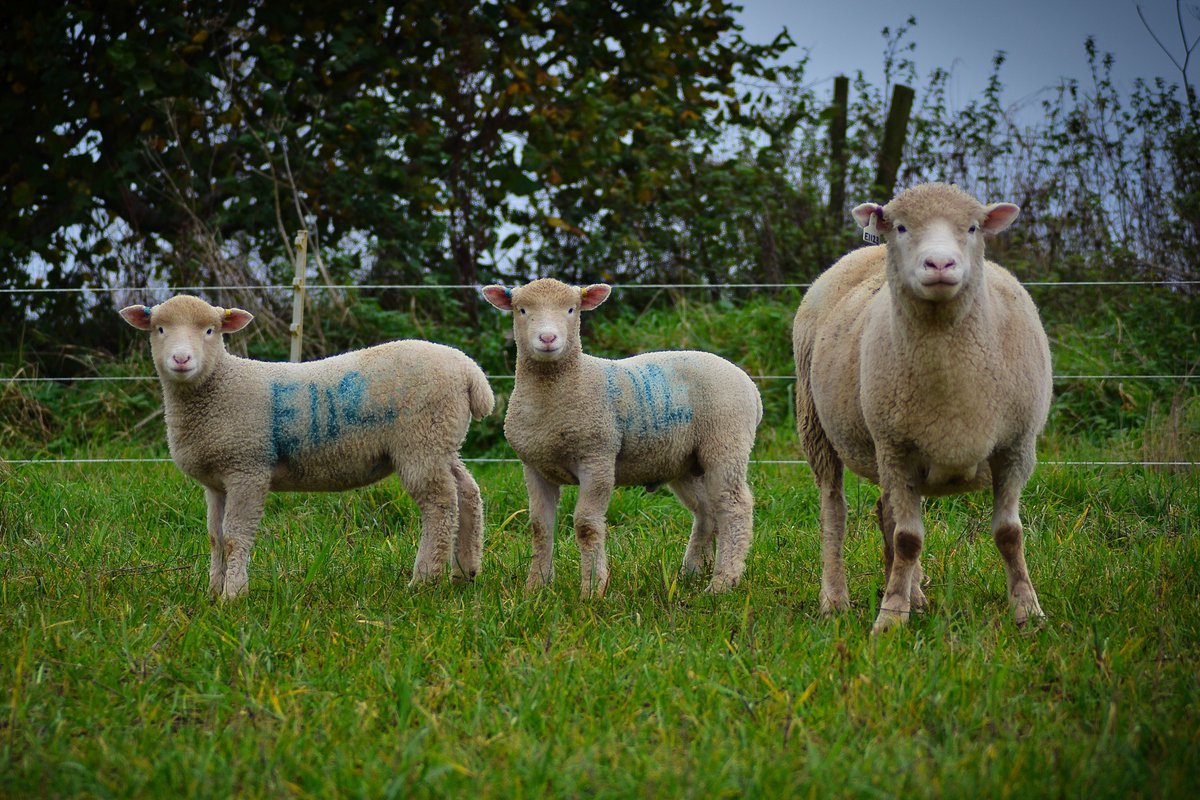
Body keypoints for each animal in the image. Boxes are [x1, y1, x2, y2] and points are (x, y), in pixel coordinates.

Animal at [119, 294, 494, 599]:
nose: (181, 359)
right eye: (159, 328)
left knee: (440, 505)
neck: (219, 384)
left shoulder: (247, 467)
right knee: (467, 491)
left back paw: (424, 580)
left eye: (210, 330)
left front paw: (233, 595)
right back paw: (465, 571)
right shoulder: (216, 481)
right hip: (441, 440)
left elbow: (235, 536)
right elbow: (215, 537)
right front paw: (212, 592)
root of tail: (470, 370)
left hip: (421, 440)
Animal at [482, 278, 762, 598]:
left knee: (734, 507)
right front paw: (536, 589)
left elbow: (586, 526)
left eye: (571, 309)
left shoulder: (597, 459)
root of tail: (749, 384)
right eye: (522, 309)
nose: (548, 338)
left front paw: (593, 589)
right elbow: (539, 527)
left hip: (726, 441)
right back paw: (690, 573)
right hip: (682, 461)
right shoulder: (534, 466)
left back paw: (722, 582)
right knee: (707, 512)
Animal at [793, 182, 1052, 633]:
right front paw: (890, 619)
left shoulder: (1015, 449)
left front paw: (1027, 610)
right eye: (900, 226)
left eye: (972, 227)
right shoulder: (897, 447)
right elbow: (909, 538)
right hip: (820, 427)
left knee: (886, 512)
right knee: (834, 511)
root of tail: (861, 253)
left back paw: (913, 593)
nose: (940, 263)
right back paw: (836, 600)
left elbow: (1008, 533)